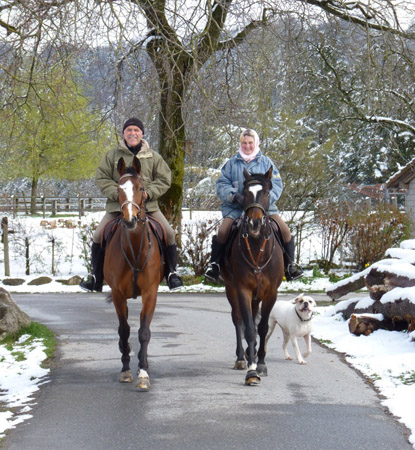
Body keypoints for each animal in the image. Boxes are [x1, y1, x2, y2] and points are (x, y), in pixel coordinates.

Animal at [104, 156, 164, 392]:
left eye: (141, 188)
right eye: (119, 189)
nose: (130, 220)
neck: (135, 248)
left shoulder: (150, 293)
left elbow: (144, 332)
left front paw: (143, 373)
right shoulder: (118, 295)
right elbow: (124, 331)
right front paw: (126, 370)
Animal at [221, 167, 286, 384]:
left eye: (266, 192)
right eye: (245, 193)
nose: (254, 223)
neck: (258, 247)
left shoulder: (271, 293)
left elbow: (262, 327)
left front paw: (262, 363)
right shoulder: (242, 290)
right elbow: (248, 328)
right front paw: (251, 370)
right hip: (231, 289)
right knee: (238, 319)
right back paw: (242, 357)